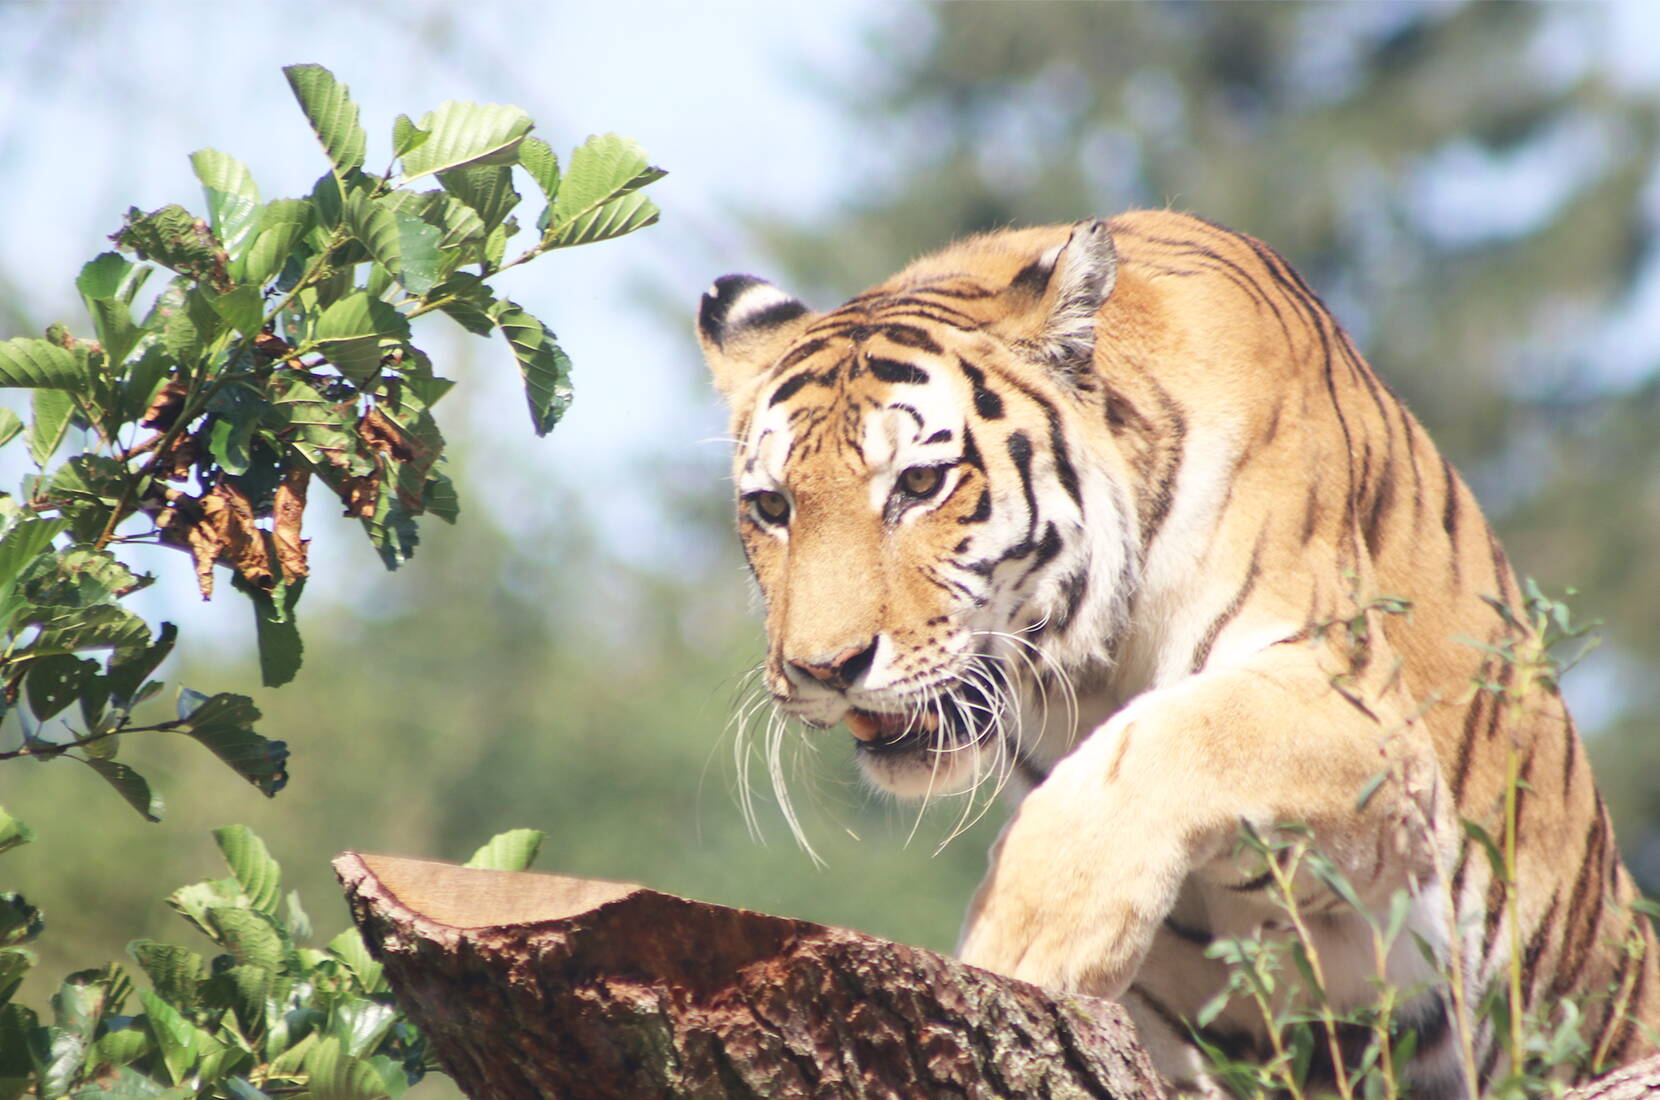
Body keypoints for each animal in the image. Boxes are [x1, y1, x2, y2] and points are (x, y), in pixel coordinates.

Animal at [693, 210, 1653, 1095]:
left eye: (921, 484)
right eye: (773, 507)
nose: (823, 669)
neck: (1090, 670)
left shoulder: (1359, 704)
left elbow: (1177, 738)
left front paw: (1024, 945)